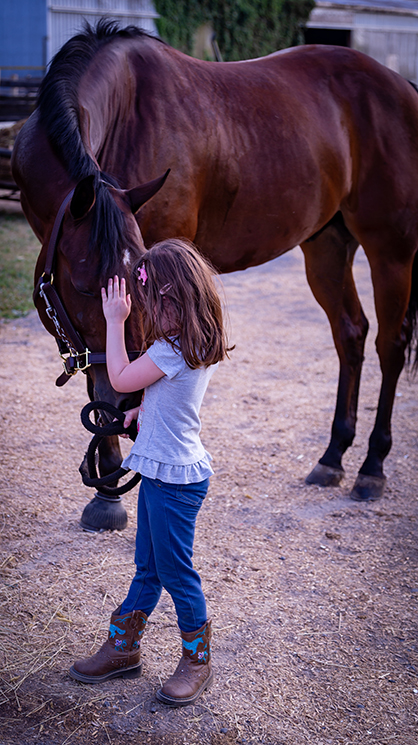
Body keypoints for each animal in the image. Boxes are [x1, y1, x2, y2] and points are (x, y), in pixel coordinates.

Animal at [11, 18, 416, 516]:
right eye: (86, 286)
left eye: (136, 283)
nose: (128, 401)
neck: (128, 116)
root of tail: (402, 87)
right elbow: (94, 377)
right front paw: (107, 490)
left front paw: (112, 493)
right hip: (327, 245)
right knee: (351, 333)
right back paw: (333, 456)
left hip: (390, 250)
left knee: (389, 345)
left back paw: (372, 466)